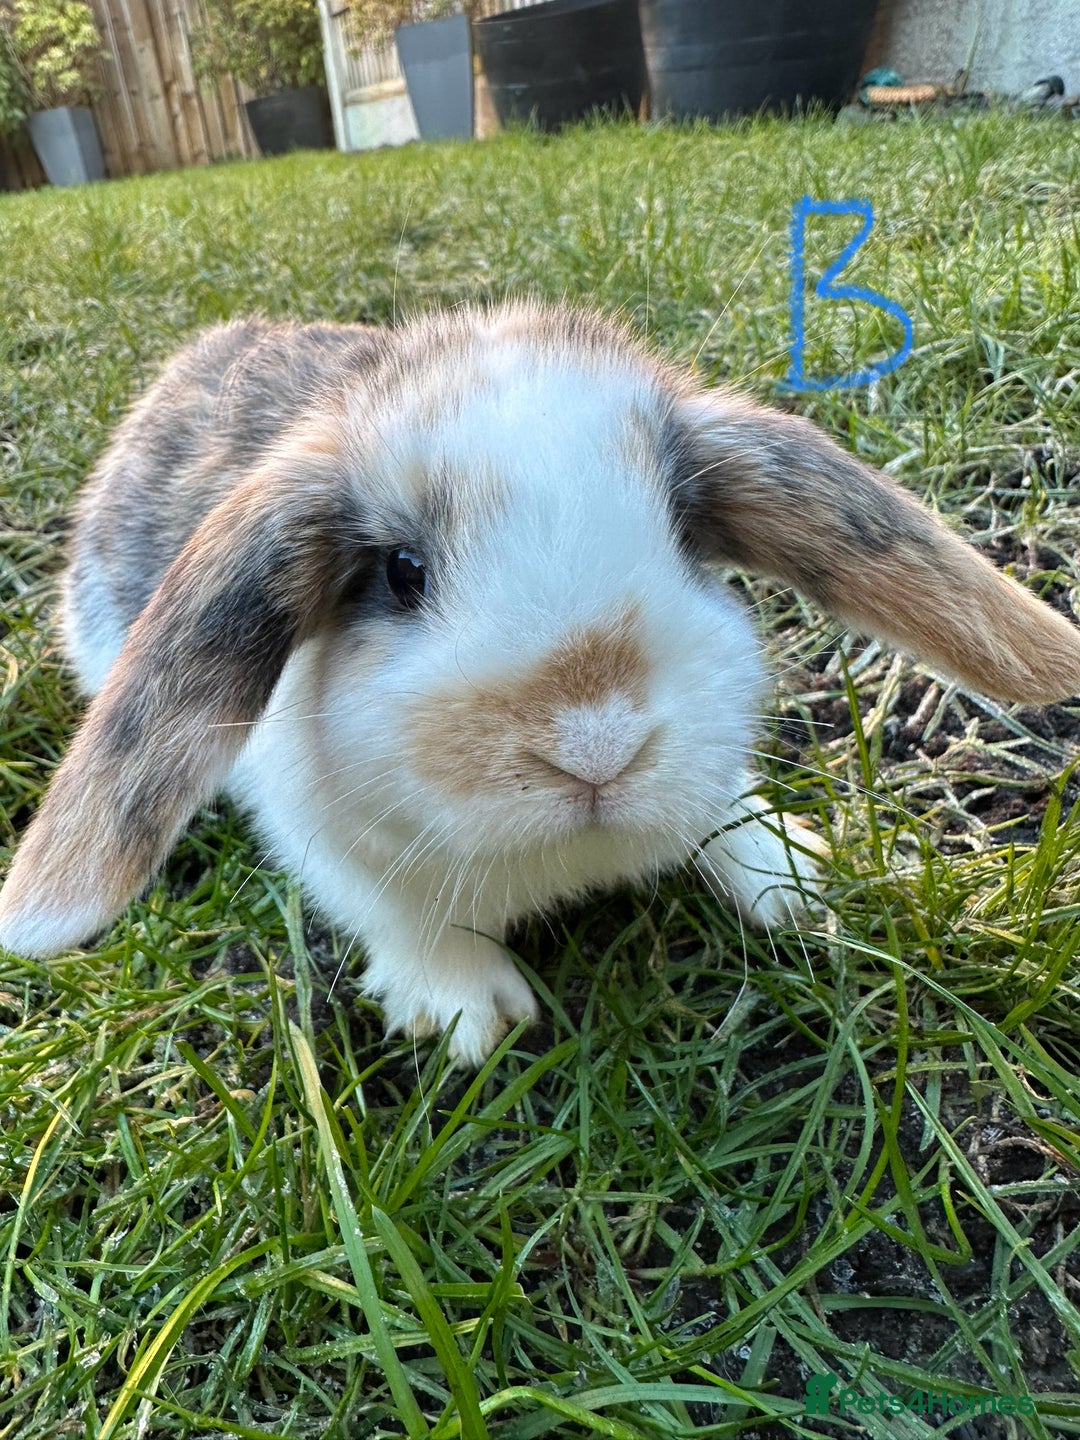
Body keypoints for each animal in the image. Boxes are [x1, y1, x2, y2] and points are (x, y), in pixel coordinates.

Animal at [2, 300, 1079, 1064]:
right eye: (402, 572)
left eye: (683, 535)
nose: (596, 742)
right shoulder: (326, 844)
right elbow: (399, 916)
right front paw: (473, 1014)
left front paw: (791, 875)